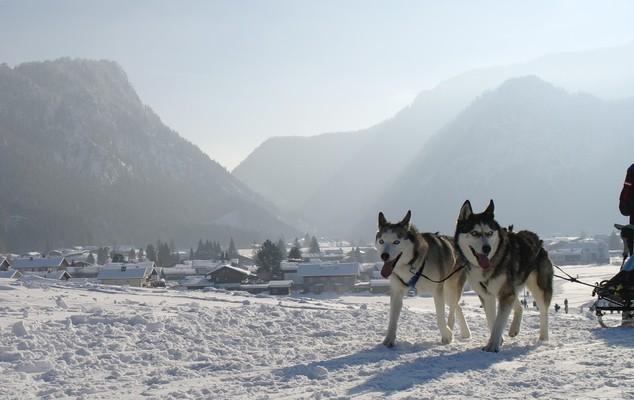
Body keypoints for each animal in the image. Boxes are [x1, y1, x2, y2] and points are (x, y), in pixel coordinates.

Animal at [376, 211, 470, 346]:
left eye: (396, 242)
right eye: (382, 241)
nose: (384, 255)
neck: (413, 264)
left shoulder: (437, 290)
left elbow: (440, 317)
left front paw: (446, 335)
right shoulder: (397, 291)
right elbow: (392, 319)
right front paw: (389, 340)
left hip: (451, 288)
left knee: (452, 309)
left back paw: (451, 330)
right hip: (447, 293)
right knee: (458, 306)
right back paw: (465, 332)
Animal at [452, 202, 552, 352]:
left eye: (489, 233)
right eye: (474, 233)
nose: (487, 248)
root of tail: (535, 238)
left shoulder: (504, 294)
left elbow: (499, 322)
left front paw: (492, 345)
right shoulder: (487, 295)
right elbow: (492, 320)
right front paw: (498, 340)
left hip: (538, 288)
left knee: (544, 311)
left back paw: (544, 337)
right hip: (511, 288)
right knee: (519, 306)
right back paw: (514, 329)